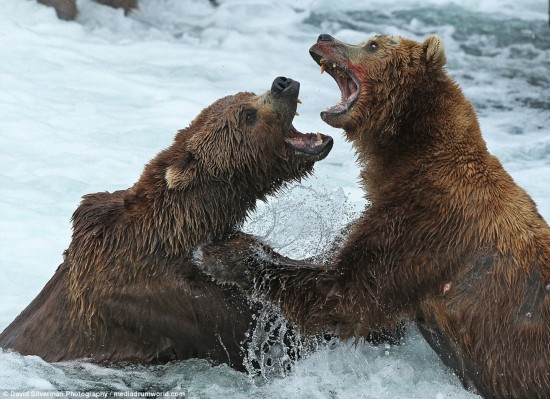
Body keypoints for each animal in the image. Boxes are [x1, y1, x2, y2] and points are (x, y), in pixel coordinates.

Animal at [0, 77, 334, 372]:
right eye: (247, 114)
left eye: (247, 94)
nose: (282, 83)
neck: (177, 231)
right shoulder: (168, 299)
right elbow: (265, 331)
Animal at [198, 35, 550, 399]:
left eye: (373, 44)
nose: (324, 37)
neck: (408, 154)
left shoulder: (427, 224)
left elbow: (347, 293)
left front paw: (225, 254)